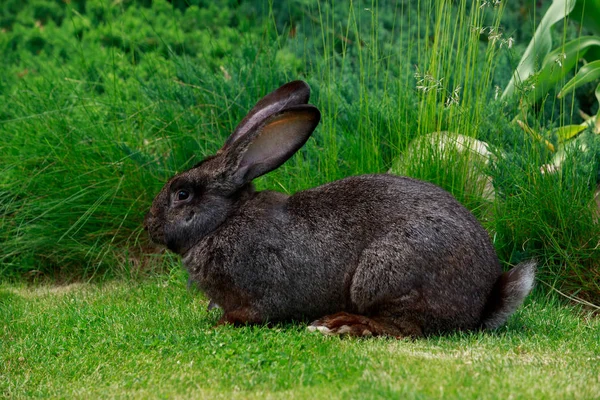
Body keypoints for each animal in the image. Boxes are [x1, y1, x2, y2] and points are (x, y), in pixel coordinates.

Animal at [144, 81, 536, 338]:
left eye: (182, 194)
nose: (149, 226)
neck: (223, 221)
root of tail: (483, 302)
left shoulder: (260, 289)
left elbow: (252, 312)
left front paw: (221, 323)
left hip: (383, 274)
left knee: (405, 328)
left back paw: (341, 324)